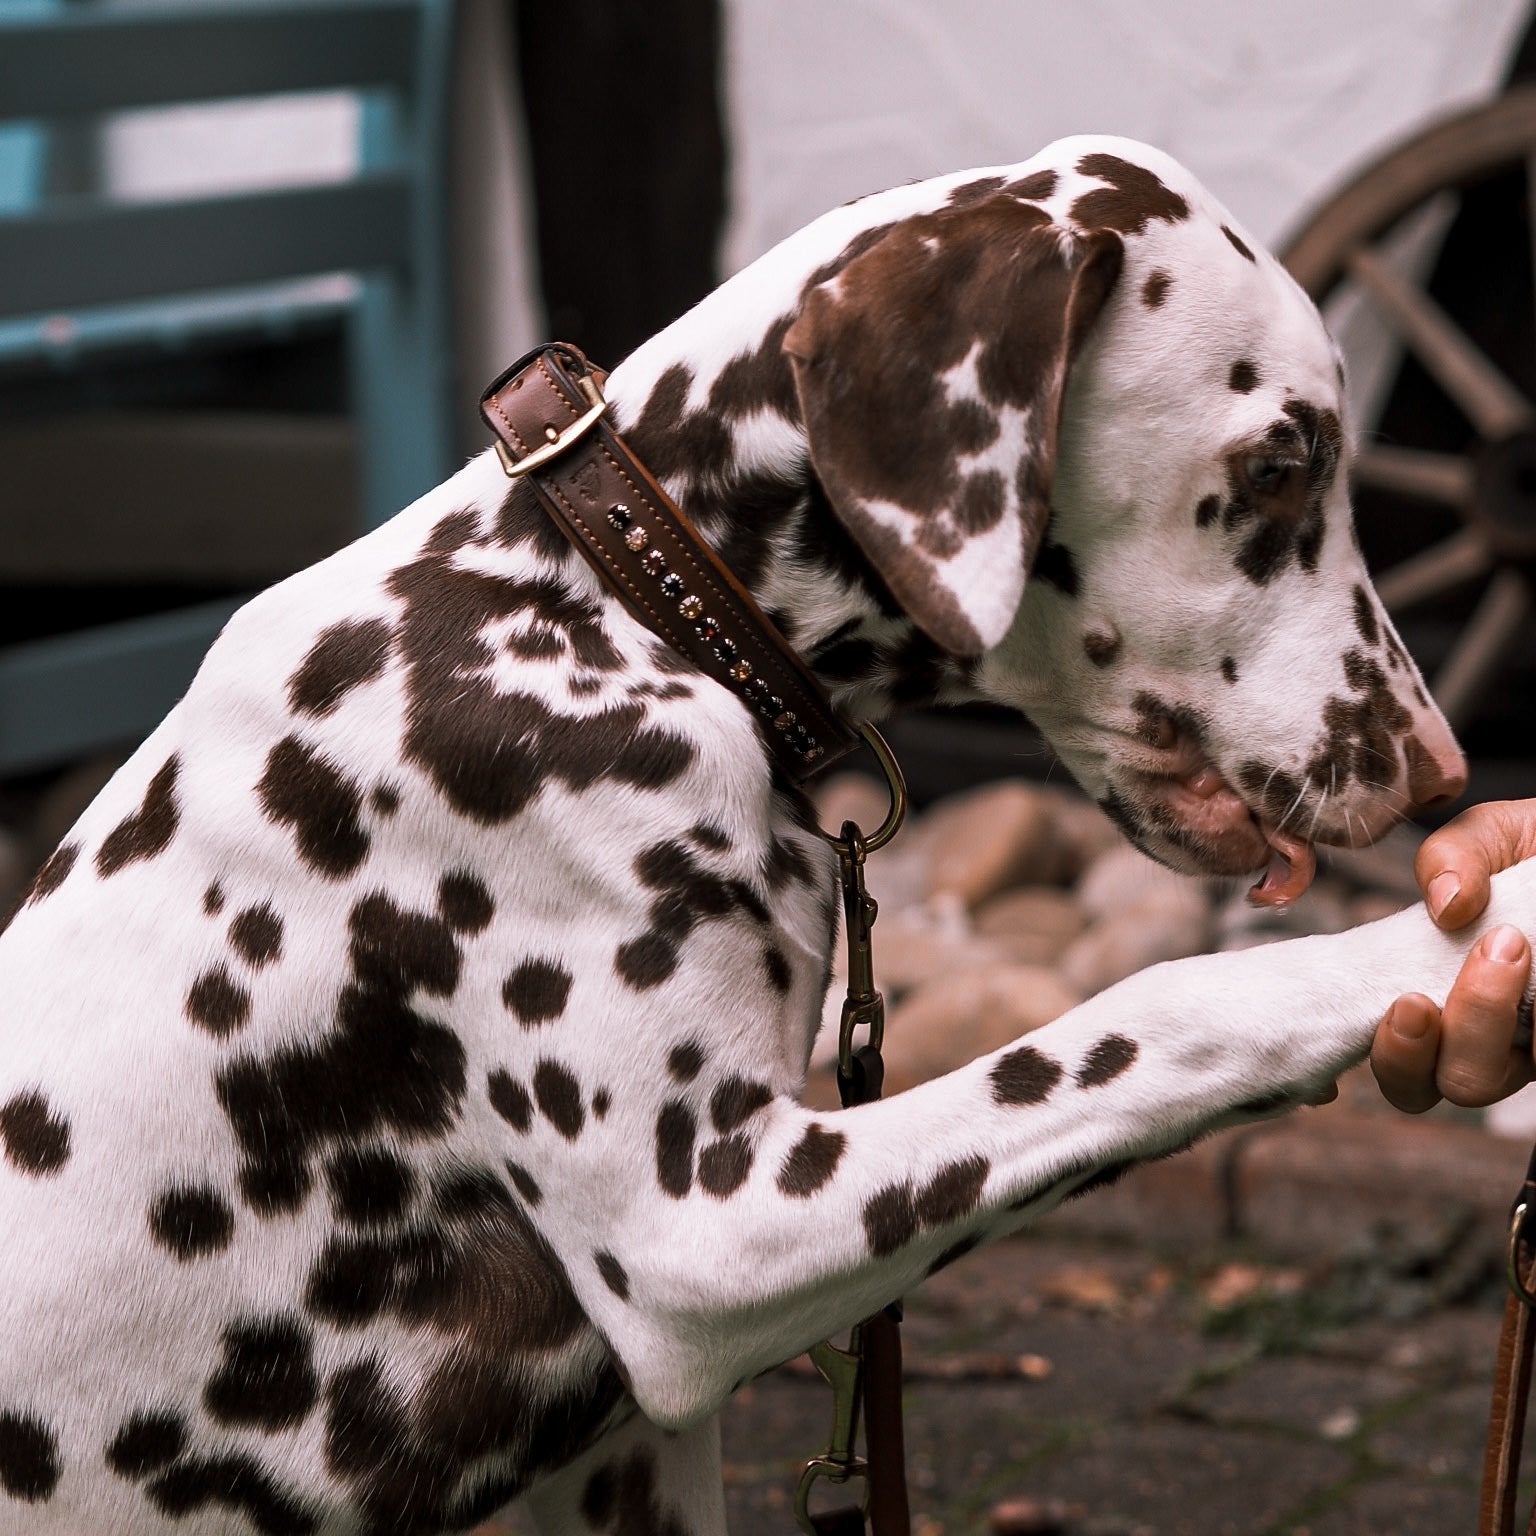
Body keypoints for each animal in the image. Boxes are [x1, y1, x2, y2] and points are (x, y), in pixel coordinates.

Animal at [3, 135, 1536, 1536]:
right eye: (1283, 462)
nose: (1439, 768)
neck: (624, 609)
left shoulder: (630, 1460)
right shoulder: (709, 1228)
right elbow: (1170, 1008)